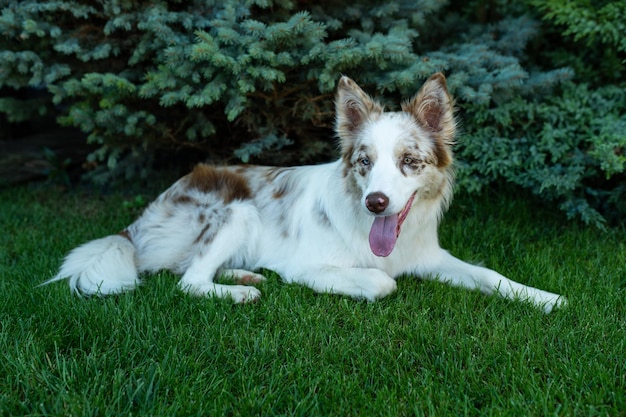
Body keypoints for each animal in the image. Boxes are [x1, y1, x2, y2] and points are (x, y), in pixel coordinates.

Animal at [41, 72, 564, 312]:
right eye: (364, 162)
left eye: (408, 162)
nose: (376, 201)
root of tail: (136, 223)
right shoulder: (309, 266)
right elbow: (383, 283)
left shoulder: (430, 257)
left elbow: (490, 275)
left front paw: (547, 298)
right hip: (239, 211)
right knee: (189, 280)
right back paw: (240, 292)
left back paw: (244, 275)